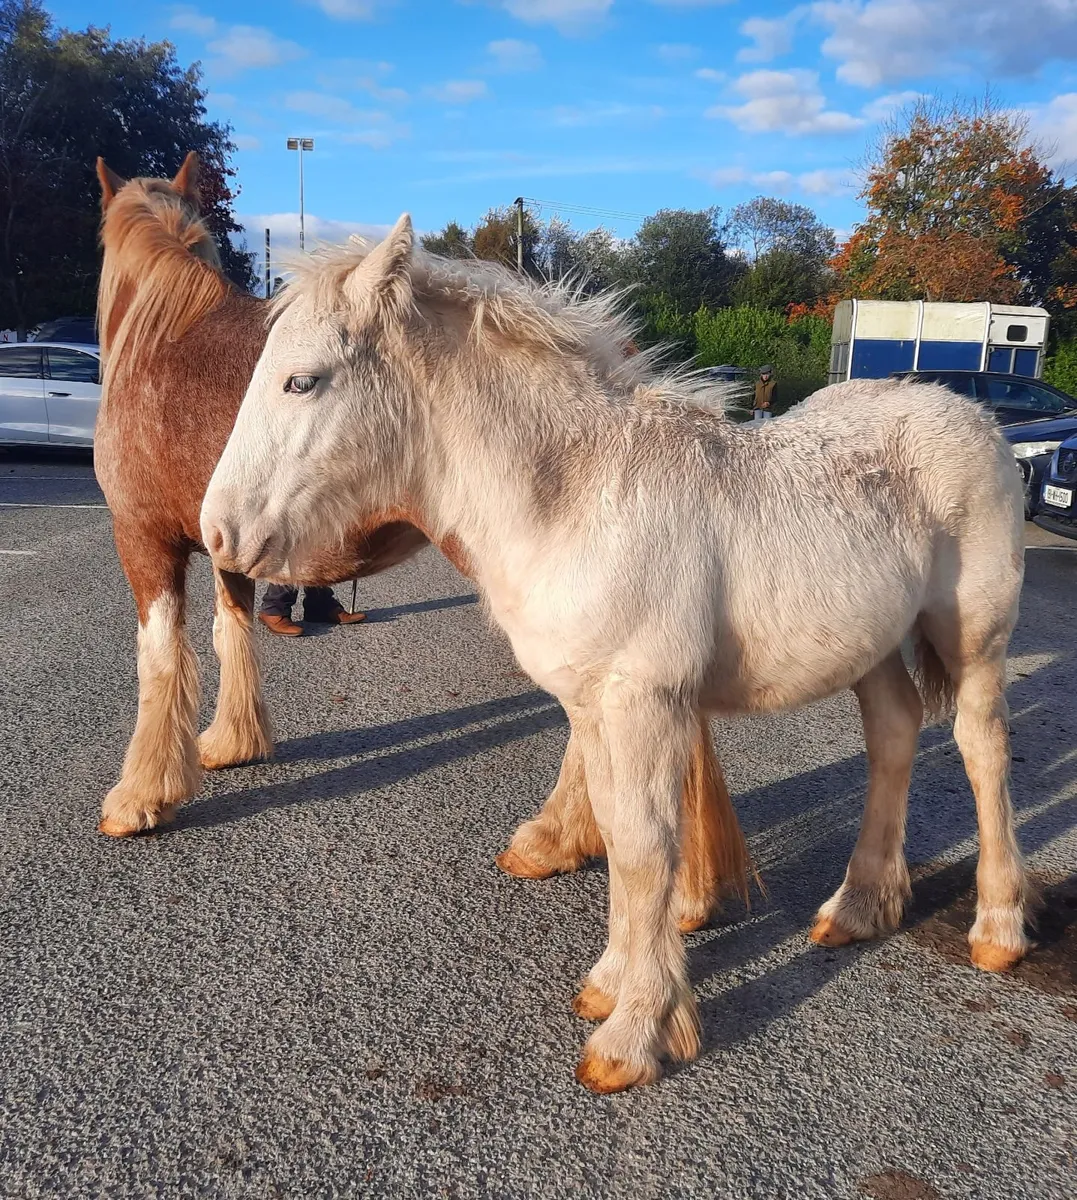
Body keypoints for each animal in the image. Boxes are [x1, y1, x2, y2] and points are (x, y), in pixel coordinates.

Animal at [92, 157, 751, 933]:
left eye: (299, 381)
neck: (160, 339)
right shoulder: (230, 544)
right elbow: (232, 637)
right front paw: (233, 743)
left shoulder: (144, 540)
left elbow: (160, 660)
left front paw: (142, 796)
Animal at [200, 215, 1032, 1094]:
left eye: (302, 382)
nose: (217, 533)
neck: (575, 498)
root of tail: (966, 412)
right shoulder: (592, 705)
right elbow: (616, 834)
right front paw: (610, 984)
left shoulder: (643, 701)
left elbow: (642, 851)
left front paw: (635, 1035)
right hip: (868, 646)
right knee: (895, 734)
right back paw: (858, 906)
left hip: (972, 637)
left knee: (980, 747)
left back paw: (996, 928)